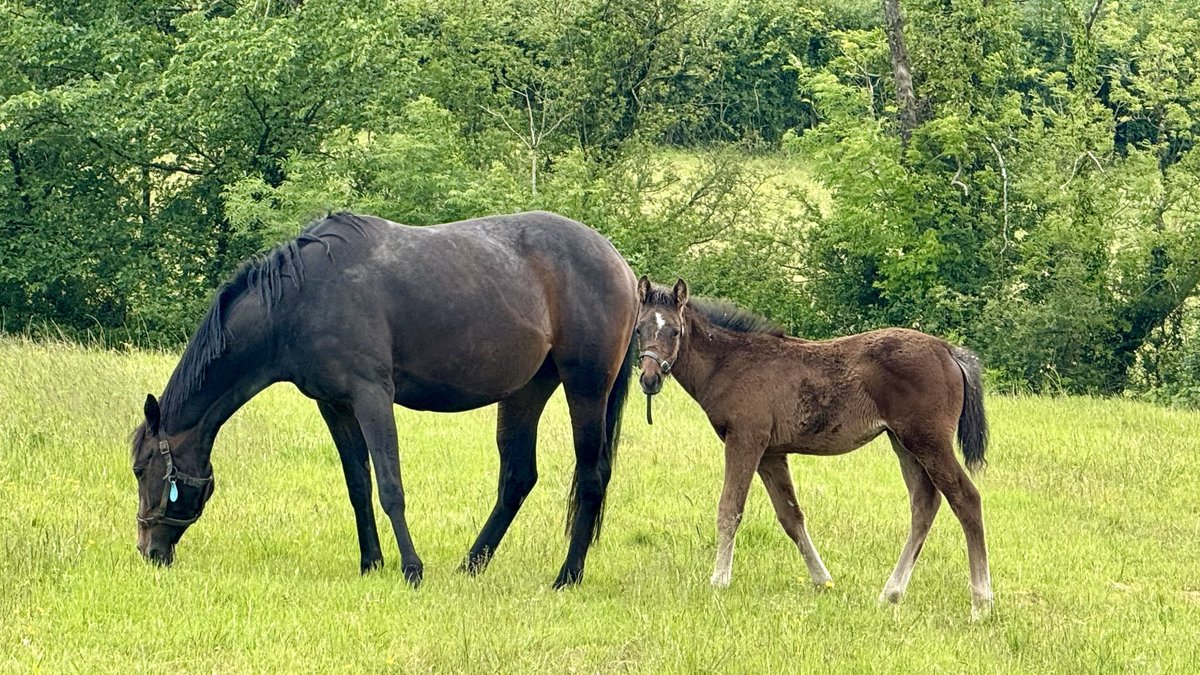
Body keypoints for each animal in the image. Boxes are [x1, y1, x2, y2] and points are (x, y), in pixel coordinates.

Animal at [130, 211, 637, 588]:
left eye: (140, 468)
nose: (148, 551)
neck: (302, 298)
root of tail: (622, 266)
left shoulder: (372, 395)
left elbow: (391, 487)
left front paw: (411, 568)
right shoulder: (334, 405)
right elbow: (359, 486)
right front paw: (370, 562)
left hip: (586, 388)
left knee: (591, 477)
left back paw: (567, 576)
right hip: (526, 392)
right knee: (517, 478)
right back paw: (471, 565)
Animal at [634, 277, 993, 620]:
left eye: (675, 331)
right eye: (639, 329)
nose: (649, 379)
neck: (728, 362)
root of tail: (949, 350)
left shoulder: (745, 440)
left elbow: (729, 509)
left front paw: (719, 580)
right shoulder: (771, 453)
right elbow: (791, 516)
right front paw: (823, 580)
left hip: (929, 441)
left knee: (966, 499)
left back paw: (981, 603)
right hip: (904, 443)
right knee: (924, 503)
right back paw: (890, 593)